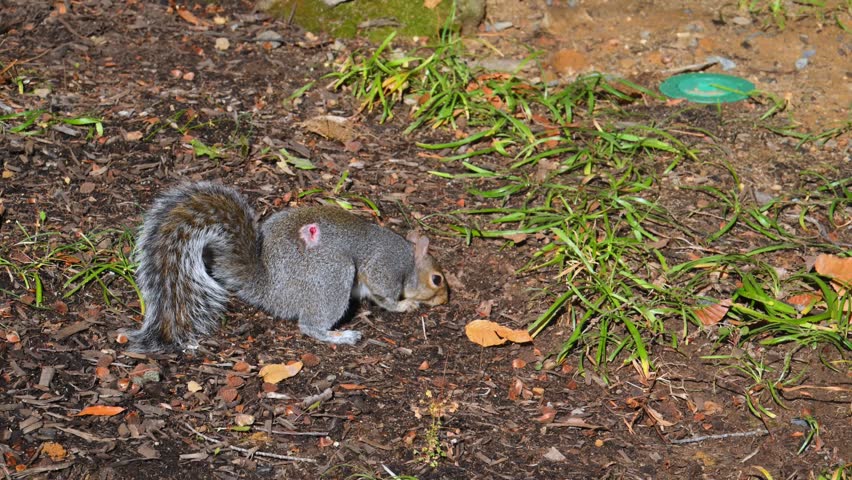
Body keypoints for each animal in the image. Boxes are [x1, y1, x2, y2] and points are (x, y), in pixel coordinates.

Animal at [126, 182, 448, 353]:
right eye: (437, 279)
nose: (444, 300)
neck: (409, 260)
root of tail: (269, 288)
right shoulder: (386, 266)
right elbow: (384, 293)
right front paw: (404, 306)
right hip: (333, 275)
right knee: (309, 326)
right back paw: (340, 336)